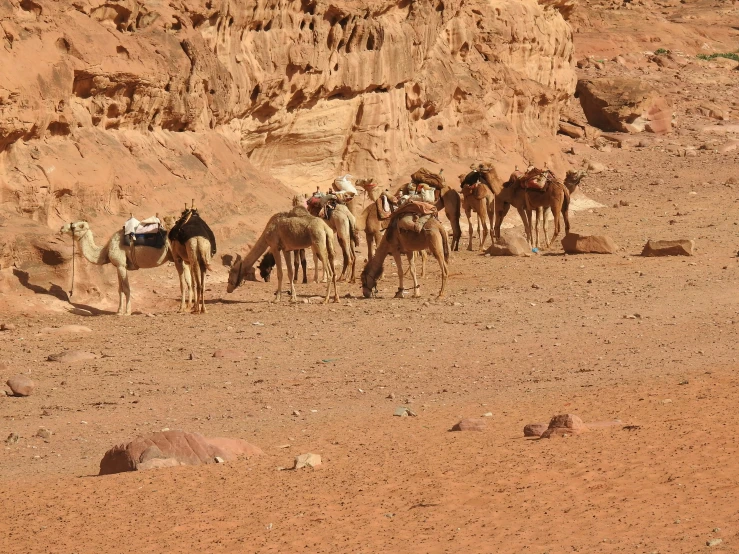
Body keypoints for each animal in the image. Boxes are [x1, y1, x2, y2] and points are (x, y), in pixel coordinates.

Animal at [60, 220, 191, 314]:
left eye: (75, 226)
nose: (61, 228)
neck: (105, 250)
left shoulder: (121, 265)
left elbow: (127, 289)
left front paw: (127, 312)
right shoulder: (118, 266)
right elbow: (120, 290)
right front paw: (118, 311)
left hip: (176, 256)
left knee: (183, 282)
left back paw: (181, 308)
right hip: (184, 258)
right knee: (189, 280)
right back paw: (189, 307)